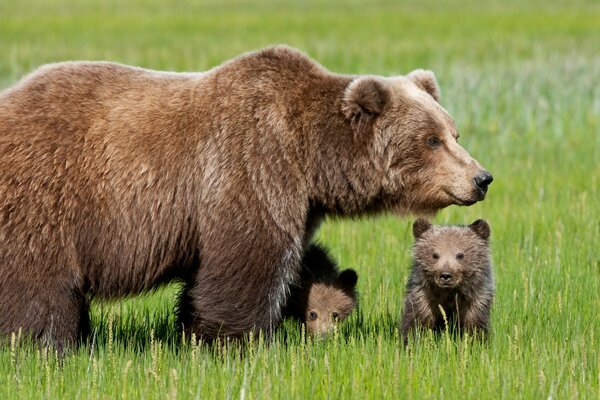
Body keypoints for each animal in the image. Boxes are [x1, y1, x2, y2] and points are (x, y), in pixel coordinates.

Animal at [0, 45, 490, 348]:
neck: (311, 157)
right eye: (431, 140)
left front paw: (193, 330)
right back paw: (45, 344)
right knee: (39, 284)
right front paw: (239, 340)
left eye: (454, 132)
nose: (482, 178)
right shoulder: (251, 166)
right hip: (47, 197)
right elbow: (247, 262)